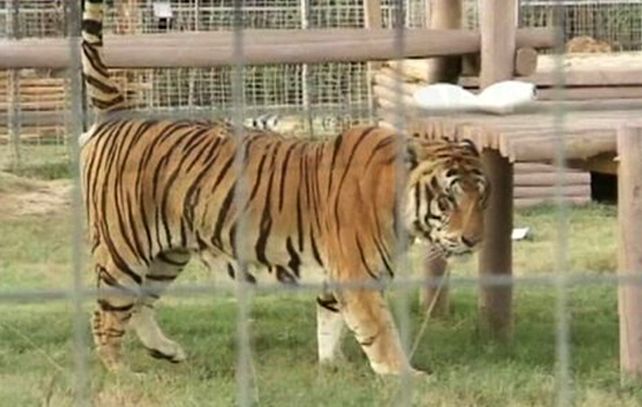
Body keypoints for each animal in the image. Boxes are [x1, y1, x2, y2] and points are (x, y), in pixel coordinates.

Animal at [80, 0, 489, 376]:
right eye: (448, 198)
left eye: (481, 198)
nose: (473, 240)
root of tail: (119, 112)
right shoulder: (357, 275)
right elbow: (380, 332)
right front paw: (406, 376)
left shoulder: (335, 275)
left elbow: (330, 321)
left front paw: (332, 365)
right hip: (124, 248)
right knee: (106, 315)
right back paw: (121, 371)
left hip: (167, 253)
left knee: (140, 304)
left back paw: (166, 351)